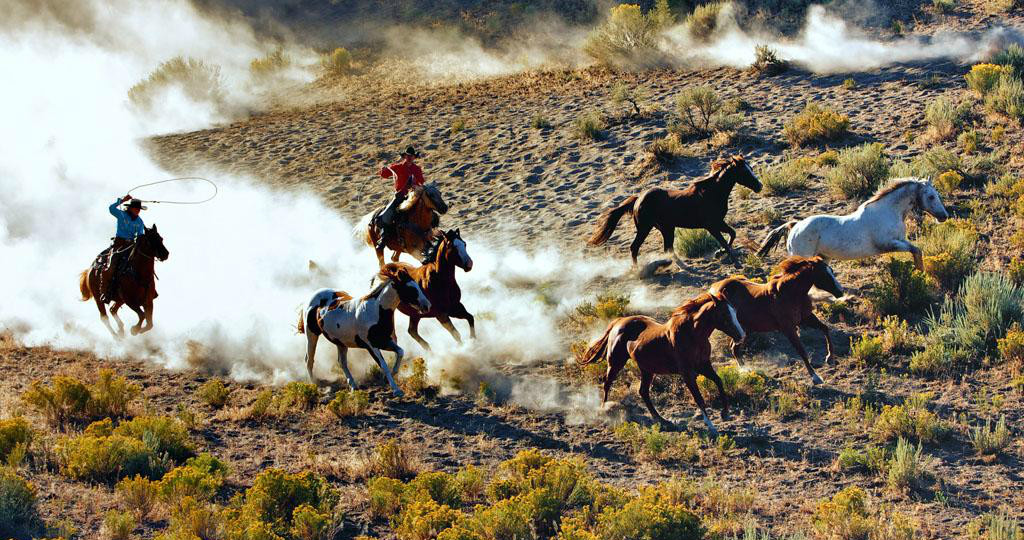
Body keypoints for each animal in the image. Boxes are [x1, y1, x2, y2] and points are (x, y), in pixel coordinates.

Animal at [298, 263, 432, 397]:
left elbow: (400, 352)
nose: (427, 306)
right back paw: (315, 386)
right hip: (312, 335)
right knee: (309, 360)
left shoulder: (384, 342)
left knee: (342, 362)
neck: (375, 311)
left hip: (341, 342)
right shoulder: (371, 346)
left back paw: (353, 386)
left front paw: (392, 374)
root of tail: (312, 297)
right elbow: (383, 365)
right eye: (411, 288)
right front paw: (396, 390)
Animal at [578, 292, 746, 435]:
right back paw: (603, 411)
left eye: (734, 311)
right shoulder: (687, 373)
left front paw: (725, 413)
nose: (741, 336)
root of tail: (618, 322)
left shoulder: (704, 365)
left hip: (647, 369)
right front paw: (711, 426)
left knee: (643, 391)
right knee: (607, 383)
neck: (692, 334)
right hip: (616, 362)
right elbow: (699, 398)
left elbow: (719, 381)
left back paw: (662, 420)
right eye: (724, 314)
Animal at [588, 155, 762, 268]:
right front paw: (736, 263)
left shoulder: (719, 222)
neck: (712, 193)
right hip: (645, 228)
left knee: (668, 248)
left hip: (666, 228)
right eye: (745, 172)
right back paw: (639, 271)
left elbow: (732, 234)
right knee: (634, 247)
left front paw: (719, 253)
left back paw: (676, 265)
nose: (759, 186)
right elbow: (725, 241)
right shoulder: (711, 225)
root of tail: (638, 199)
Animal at [709, 256, 844, 385]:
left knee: (735, 349)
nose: (841, 292)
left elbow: (825, 328)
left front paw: (830, 358)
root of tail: (713, 288)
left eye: (831, 271)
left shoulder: (805, 318)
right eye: (823, 274)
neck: (790, 293)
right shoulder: (788, 328)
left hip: (744, 330)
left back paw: (745, 371)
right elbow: (802, 351)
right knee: (733, 348)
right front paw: (816, 377)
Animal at [758, 178, 949, 271]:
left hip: (822, 257)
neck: (889, 211)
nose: (944, 216)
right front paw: (921, 271)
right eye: (931, 196)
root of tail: (795, 226)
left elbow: (917, 250)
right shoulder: (888, 244)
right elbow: (916, 250)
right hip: (802, 256)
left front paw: (919, 270)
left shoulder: (900, 240)